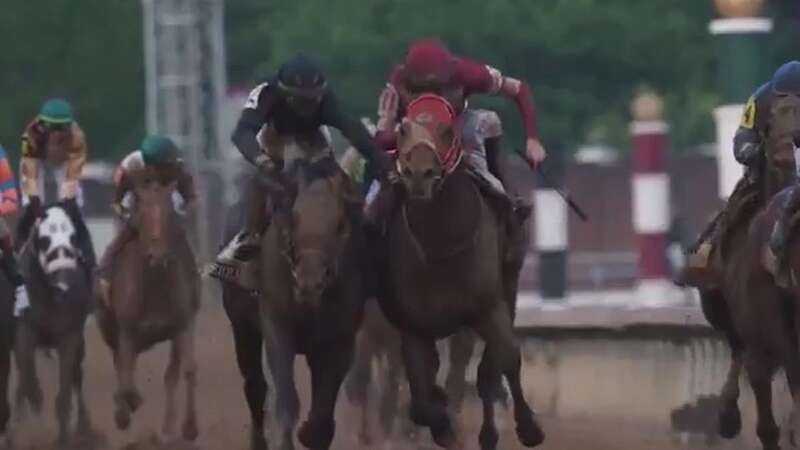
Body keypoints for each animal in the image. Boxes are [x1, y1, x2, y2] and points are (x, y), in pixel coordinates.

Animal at [14, 206, 94, 448]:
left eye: (73, 237)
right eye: (43, 240)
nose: (65, 283)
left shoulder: (69, 336)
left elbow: (65, 394)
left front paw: (64, 439)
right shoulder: (25, 330)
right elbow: (26, 375)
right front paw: (32, 408)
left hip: (79, 345)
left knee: (77, 376)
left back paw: (84, 426)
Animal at [94, 178, 200, 442]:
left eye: (170, 213)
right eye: (141, 213)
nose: (157, 255)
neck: (155, 291)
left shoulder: (183, 325)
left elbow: (186, 370)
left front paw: (189, 428)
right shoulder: (126, 331)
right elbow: (125, 376)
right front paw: (126, 411)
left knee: (169, 374)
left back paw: (167, 429)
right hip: (110, 330)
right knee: (122, 367)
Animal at [258, 170, 364, 450]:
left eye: (339, 225)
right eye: (294, 219)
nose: (308, 284)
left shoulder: (338, 341)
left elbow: (323, 410)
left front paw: (310, 432)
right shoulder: (277, 324)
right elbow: (286, 398)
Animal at [380, 96, 544, 450]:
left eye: (446, 129)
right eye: (402, 129)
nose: (419, 174)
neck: (442, 245)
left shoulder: (488, 306)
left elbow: (506, 358)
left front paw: (529, 428)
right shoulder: (413, 325)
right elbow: (422, 398)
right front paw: (443, 426)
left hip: (507, 287)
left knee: (487, 371)